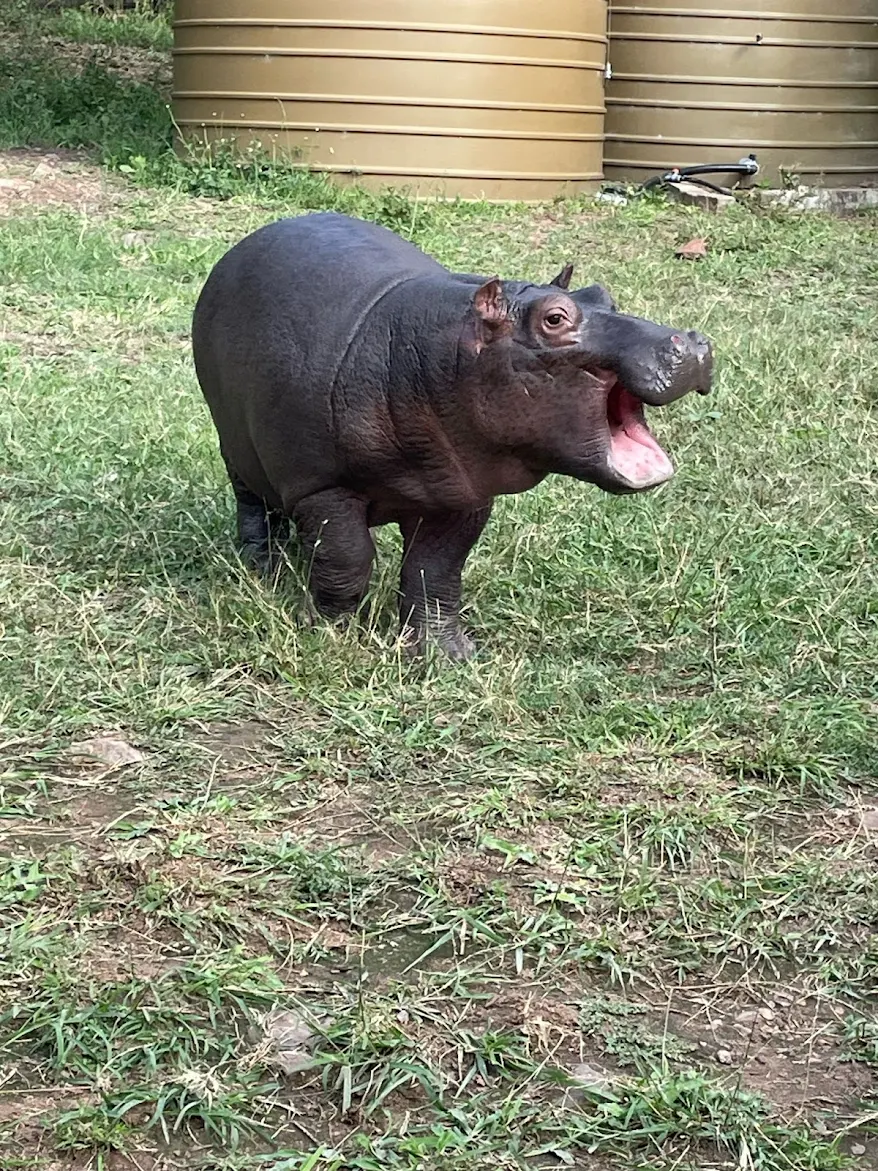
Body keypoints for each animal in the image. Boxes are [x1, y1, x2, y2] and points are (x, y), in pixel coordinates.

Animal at [192, 212, 712, 659]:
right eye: (555, 318)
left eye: (603, 294)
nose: (693, 341)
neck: (444, 353)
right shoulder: (324, 488)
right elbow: (347, 561)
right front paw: (327, 634)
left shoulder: (461, 494)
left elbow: (436, 572)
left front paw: (449, 655)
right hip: (233, 441)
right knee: (252, 501)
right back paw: (261, 563)